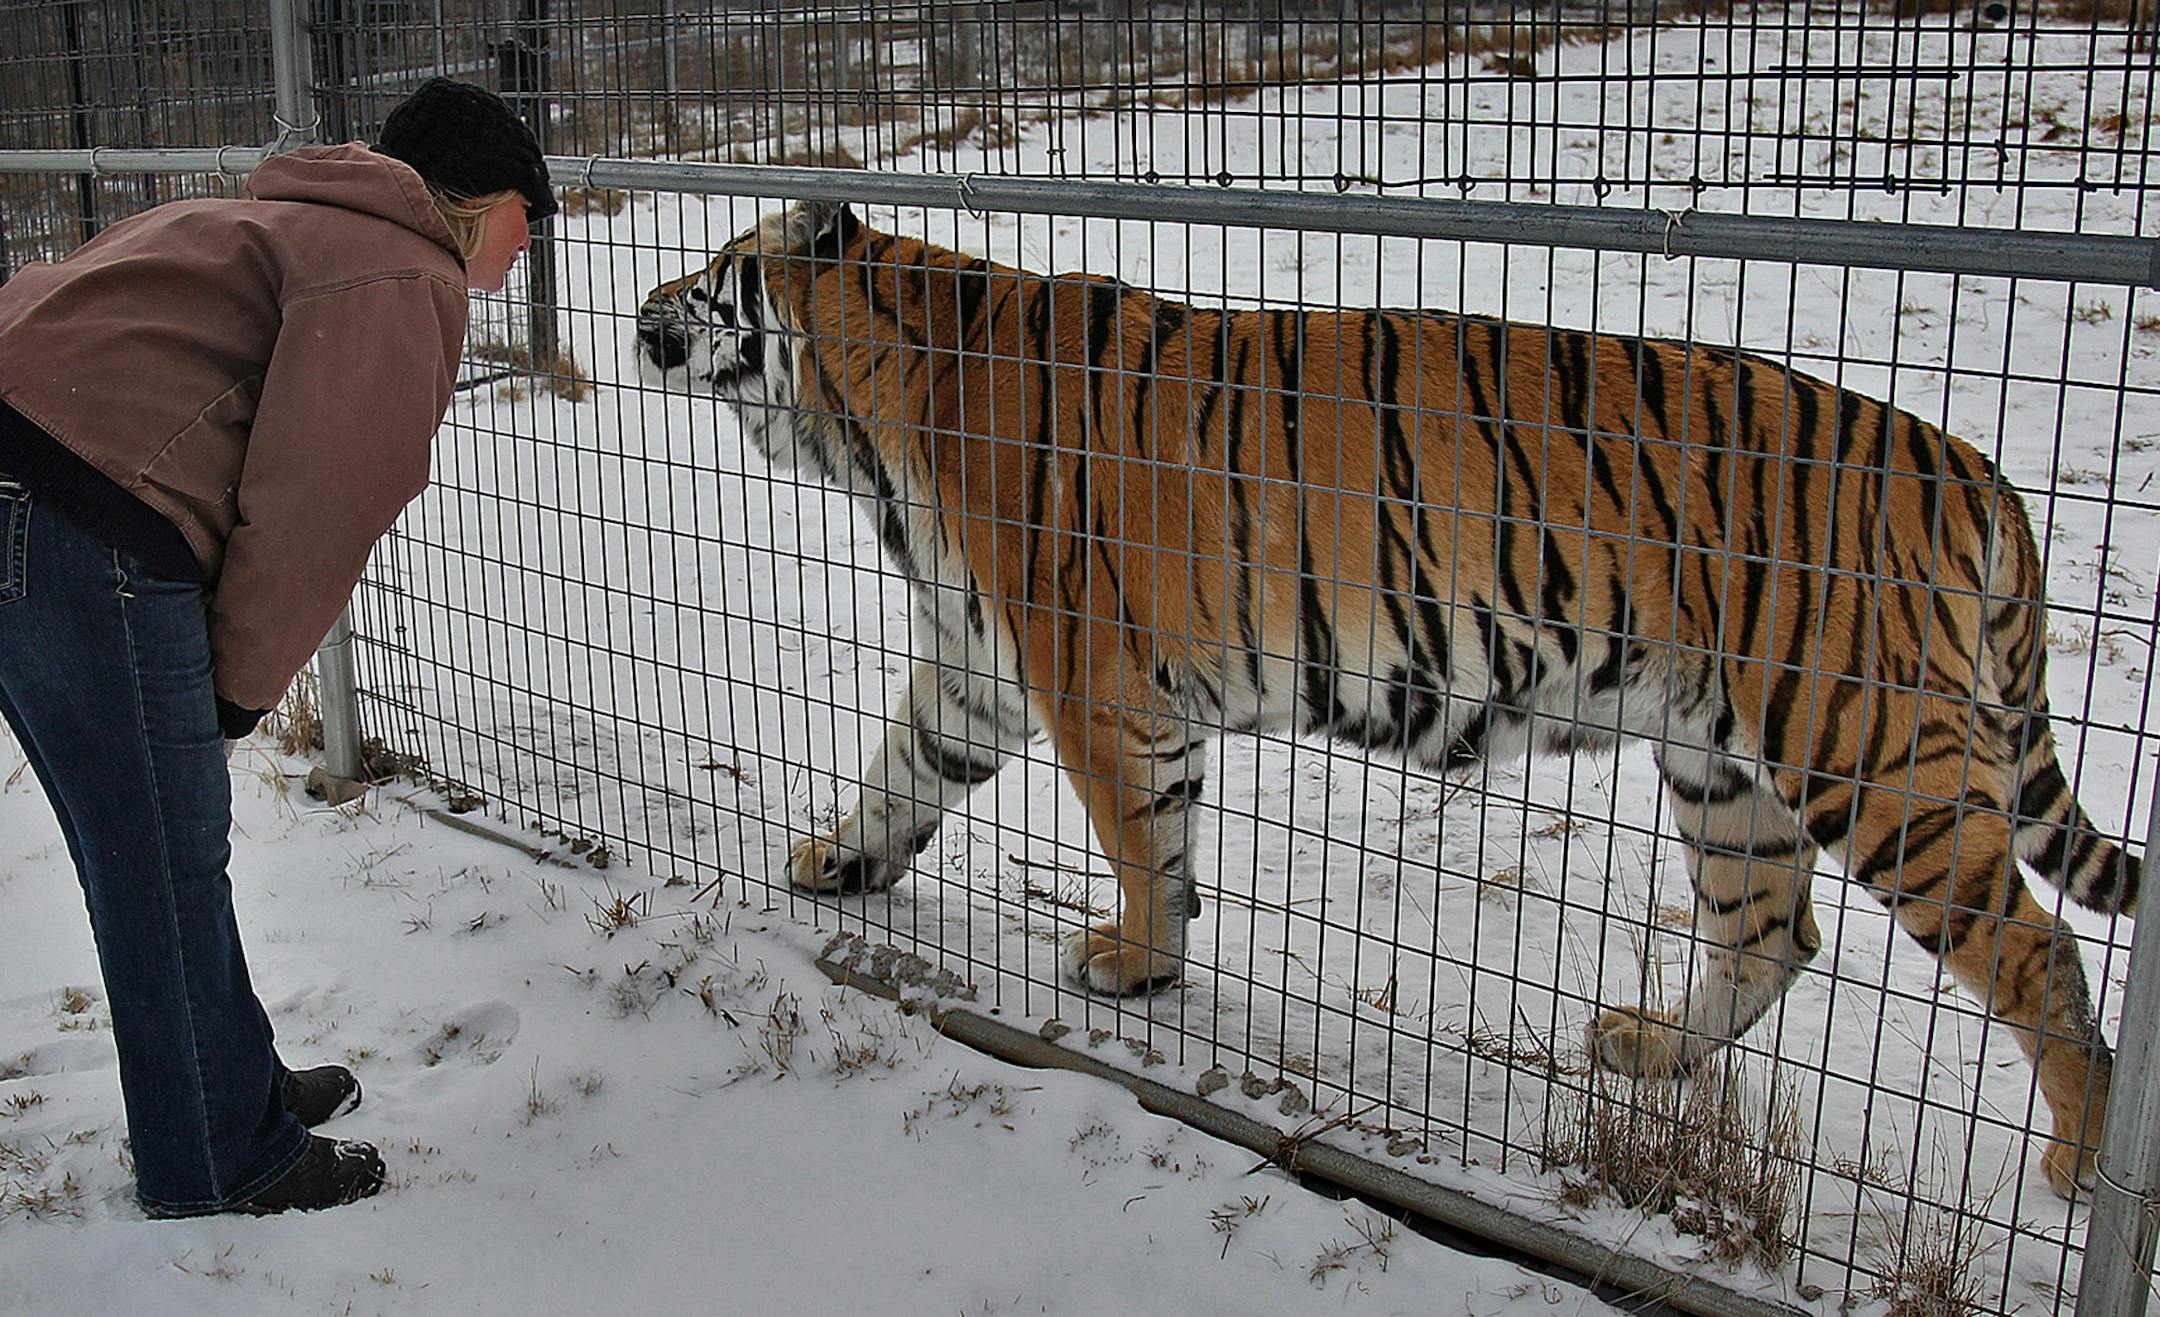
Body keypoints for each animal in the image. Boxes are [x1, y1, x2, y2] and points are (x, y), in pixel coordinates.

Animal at [635, 198, 2141, 1198]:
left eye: (715, 273)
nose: (647, 304)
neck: (860, 417)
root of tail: (1970, 461)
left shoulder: (1086, 673)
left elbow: (1137, 835)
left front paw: (1136, 963)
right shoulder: (979, 666)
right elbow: (905, 774)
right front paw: (839, 864)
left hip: (1865, 748)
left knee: (2037, 957)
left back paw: (2082, 1162)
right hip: (1725, 766)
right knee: (1773, 936)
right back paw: (1647, 1050)